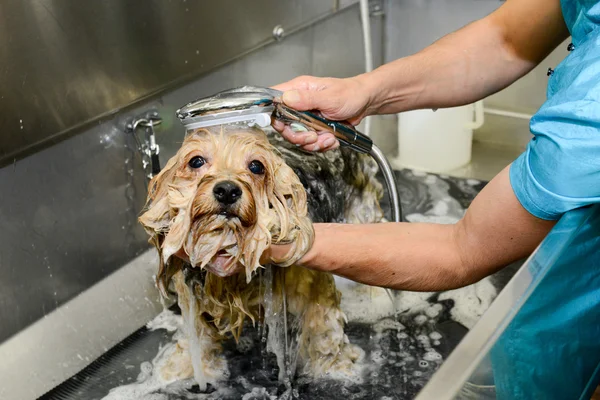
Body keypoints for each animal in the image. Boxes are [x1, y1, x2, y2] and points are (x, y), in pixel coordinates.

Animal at [139, 125, 384, 390]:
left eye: (256, 166)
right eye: (196, 161)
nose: (227, 190)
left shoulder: (313, 287)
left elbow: (324, 329)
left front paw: (336, 368)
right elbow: (197, 337)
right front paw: (180, 370)